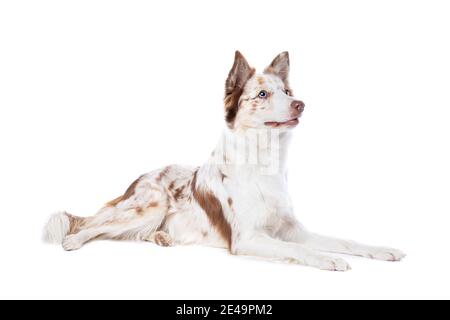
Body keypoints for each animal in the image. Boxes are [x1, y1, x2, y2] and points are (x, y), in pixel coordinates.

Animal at [44, 52, 406, 270]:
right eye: (262, 94)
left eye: (287, 92)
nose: (300, 104)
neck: (263, 162)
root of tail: (139, 178)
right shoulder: (247, 239)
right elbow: (302, 251)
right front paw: (326, 259)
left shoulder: (291, 229)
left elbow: (343, 240)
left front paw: (382, 250)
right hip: (150, 205)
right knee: (89, 224)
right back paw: (73, 240)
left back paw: (162, 238)